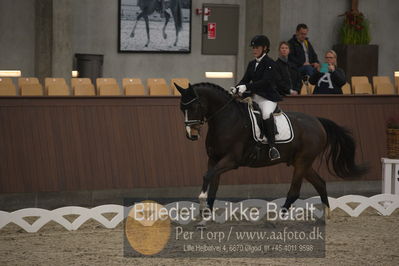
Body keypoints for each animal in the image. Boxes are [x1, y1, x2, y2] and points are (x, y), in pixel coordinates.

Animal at [176, 82, 368, 213]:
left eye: (194, 106)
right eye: (181, 108)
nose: (191, 135)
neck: (226, 120)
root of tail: (318, 122)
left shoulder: (231, 160)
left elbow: (207, 176)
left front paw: (201, 201)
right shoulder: (214, 159)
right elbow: (212, 185)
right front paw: (205, 216)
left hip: (302, 161)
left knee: (294, 192)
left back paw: (276, 219)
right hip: (302, 162)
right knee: (320, 183)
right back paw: (325, 216)